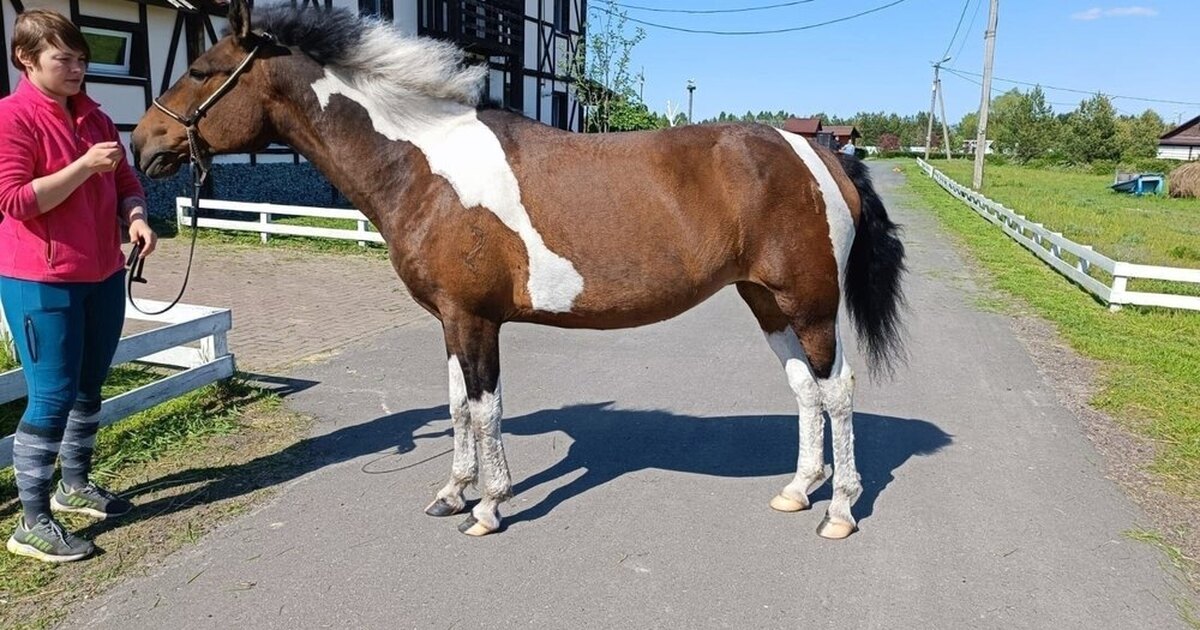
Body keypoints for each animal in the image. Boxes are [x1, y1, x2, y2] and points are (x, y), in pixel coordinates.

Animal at [131, 1, 902, 540]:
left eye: (200, 71)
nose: (142, 145)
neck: (424, 165)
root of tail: (819, 152)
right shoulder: (451, 319)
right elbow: (456, 405)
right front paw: (452, 493)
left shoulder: (475, 318)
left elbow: (484, 406)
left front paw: (490, 506)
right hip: (767, 301)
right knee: (804, 389)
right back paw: (798, 489)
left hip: (808, 303)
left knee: (836, 391)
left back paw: (838, 510)